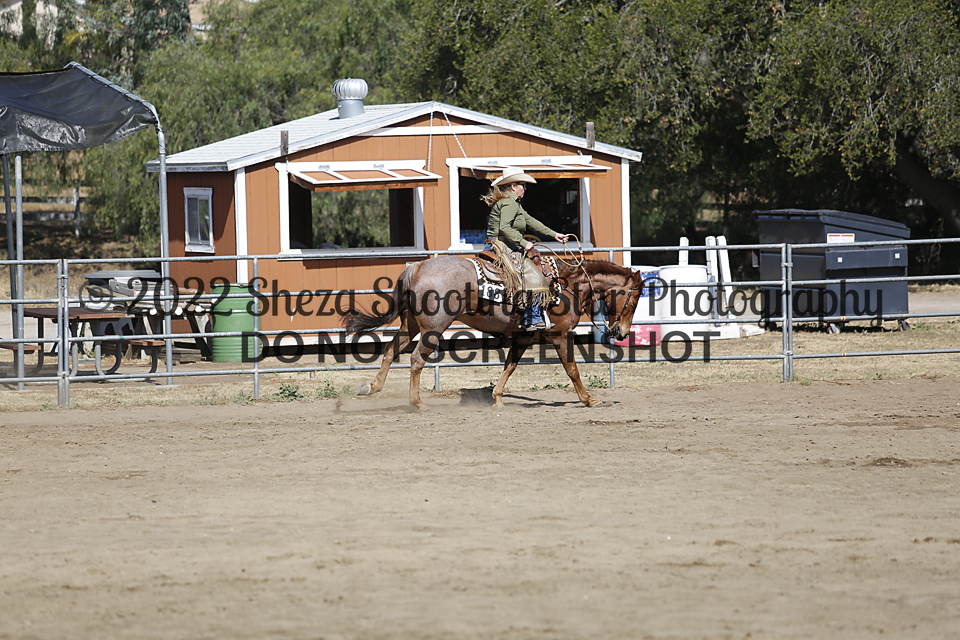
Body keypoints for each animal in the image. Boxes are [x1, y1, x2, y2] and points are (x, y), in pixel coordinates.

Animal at [342, 255, 645, 411]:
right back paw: (417, 403)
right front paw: (590, 399)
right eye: (634, 299)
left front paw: (497, 398)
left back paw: (371, 387)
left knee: (390, 350)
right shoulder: (560, 335)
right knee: (416, 360)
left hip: (412, 325)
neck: (567, 287)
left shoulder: (524, 336)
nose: (621, 332)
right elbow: (572, 369)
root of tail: (418, 266)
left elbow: (510, 365)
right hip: (433, 328)